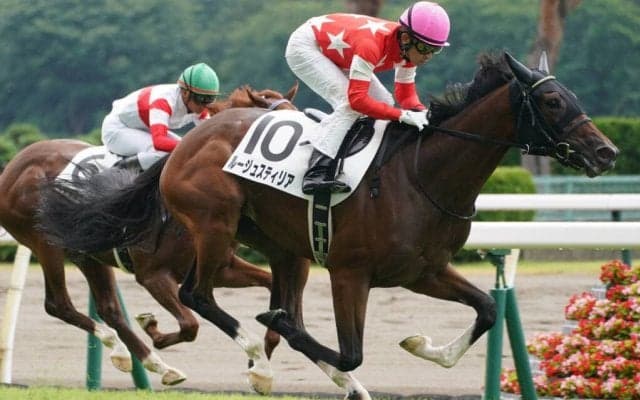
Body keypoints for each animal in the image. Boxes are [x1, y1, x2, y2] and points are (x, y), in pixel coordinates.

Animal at [0, 83, 297, 387]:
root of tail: (13, 166)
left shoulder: (221, 267)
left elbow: (268, 283)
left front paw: (262, 358)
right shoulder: (153, 275)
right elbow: (190, 325)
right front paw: (153, 328)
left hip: (86, 253)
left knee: (108, 308)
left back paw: (146, 361)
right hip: (45, 245)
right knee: (58, 304)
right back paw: (129, 351)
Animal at [36, 52, 618, 398]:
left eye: (570, 95)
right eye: (551, 99)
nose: (606, 151)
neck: (419, 175)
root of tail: (183, 144)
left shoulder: (423, 271)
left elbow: (487, 310)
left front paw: (421, 346)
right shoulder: (349, 272)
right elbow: (346, 347)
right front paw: (285, 338)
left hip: (281, 247)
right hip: (213, 224)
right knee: (196, 294)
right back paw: (257, 359)